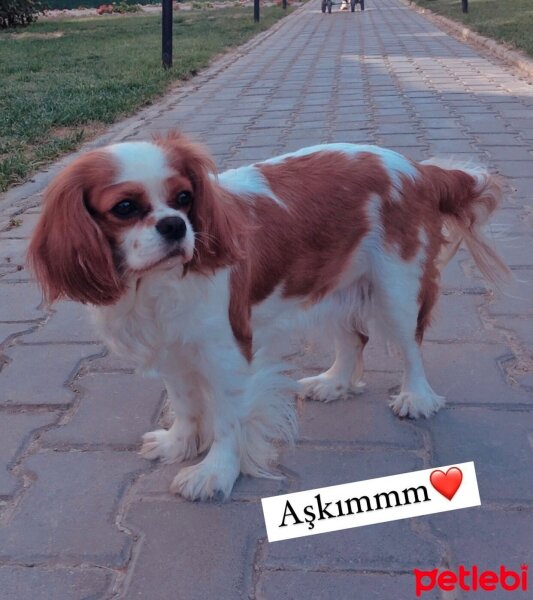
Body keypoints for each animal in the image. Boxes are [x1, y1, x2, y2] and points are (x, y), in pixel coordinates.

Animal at [28, 132, 508, 502]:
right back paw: (334, 383)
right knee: (354, 338)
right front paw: (180, 443)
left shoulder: (226, 351)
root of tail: (418, 168)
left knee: (410, 345)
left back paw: (416, 397)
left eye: (184, 198)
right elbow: (184, 404)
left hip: (397, 286)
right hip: (333, 282)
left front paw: (215, 472)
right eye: (124, 208)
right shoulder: (173, 348)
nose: (175, 225)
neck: (154, 285)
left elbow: (226, 419)